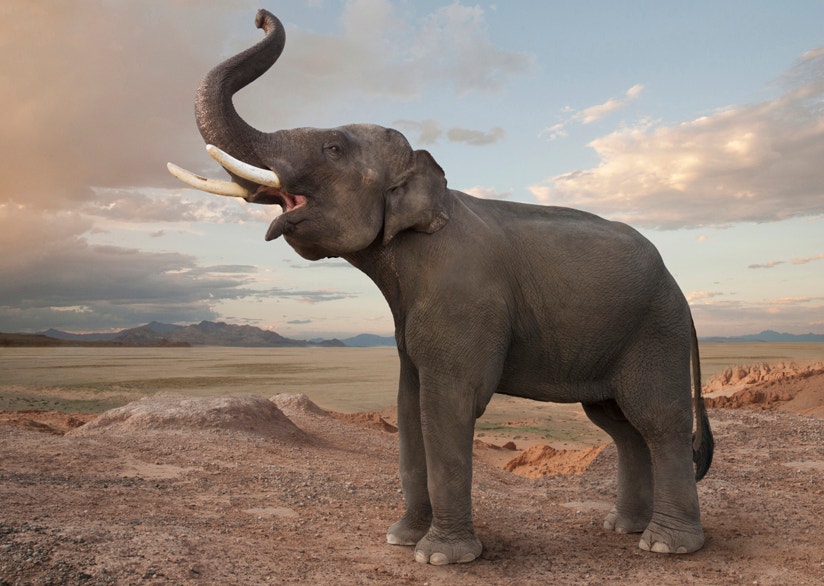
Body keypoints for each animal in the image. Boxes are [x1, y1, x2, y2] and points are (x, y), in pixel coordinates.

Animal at [169, 9, 713, 566]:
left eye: (333, 148)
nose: (259, 17)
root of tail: (680, 291)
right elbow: (410, 408)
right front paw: (402, 538)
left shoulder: (461, 303)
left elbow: (448, 408)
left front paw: (440, 557)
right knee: (620, 425)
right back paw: (624, 527)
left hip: (654, 329)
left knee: (658, 421)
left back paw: (665, 545)